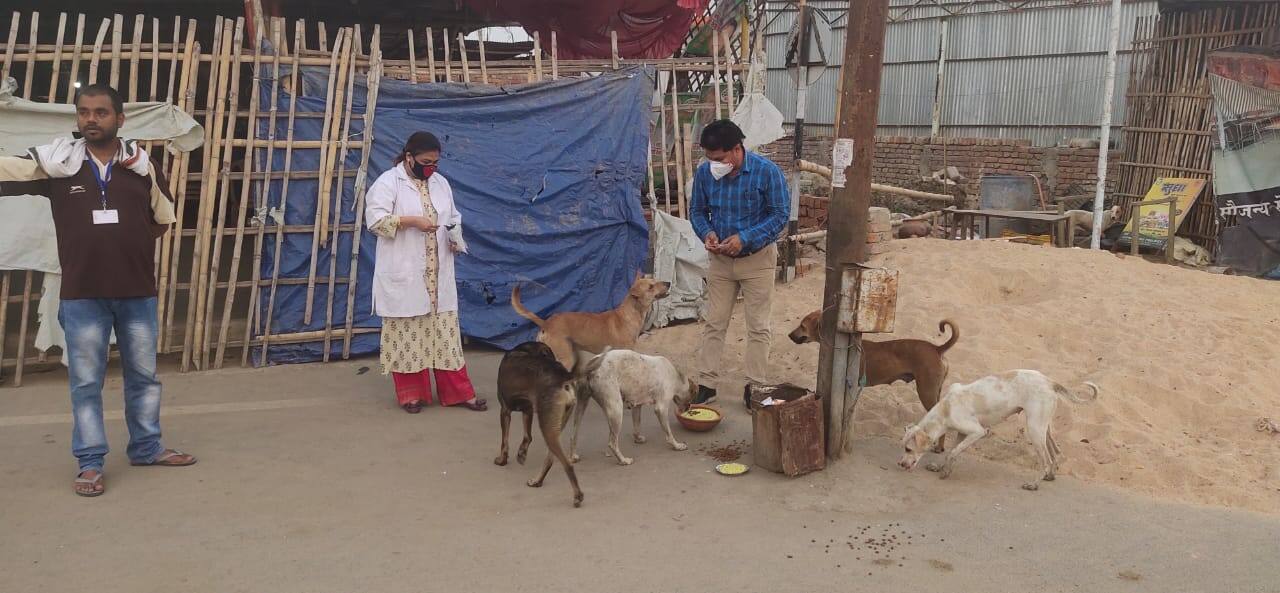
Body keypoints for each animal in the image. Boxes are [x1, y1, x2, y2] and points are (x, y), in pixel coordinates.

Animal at [494, 340, 586, 507]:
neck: (525, 349)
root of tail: (563, 376)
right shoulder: (528, 410)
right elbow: (527, 436)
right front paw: (521, 453)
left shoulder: (505, 410)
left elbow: (504, 442)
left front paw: (502, 460)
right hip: (555, 424)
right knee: (550, 459)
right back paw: (537, 481)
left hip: (547, 424)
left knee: (567, 465)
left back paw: (577, 496)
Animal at [509, 274, 670, 371]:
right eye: (650, 287)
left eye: (654, 280)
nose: (668, 283)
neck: (629, 314)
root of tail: (546, 323)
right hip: (565, 358)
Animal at [788, 311, 962, 450]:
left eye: (802, 326)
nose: (789, 335)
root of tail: (937, 349)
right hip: (935, 391)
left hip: (926, 392)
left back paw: (938, 448)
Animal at [901, 371, 1100, 491]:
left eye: (908, 449)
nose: (900, 465)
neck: (946, 409)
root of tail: (1050, 382)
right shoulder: (962, 433)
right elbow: (953, 450)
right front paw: (940, 467)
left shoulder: (978, 432)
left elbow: (953, 452)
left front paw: (945, 472)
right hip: (1044, 428)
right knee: (1056, 454)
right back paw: (1049, 476)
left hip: (1034, 430)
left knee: (1046, 460)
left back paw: (1034, 484)